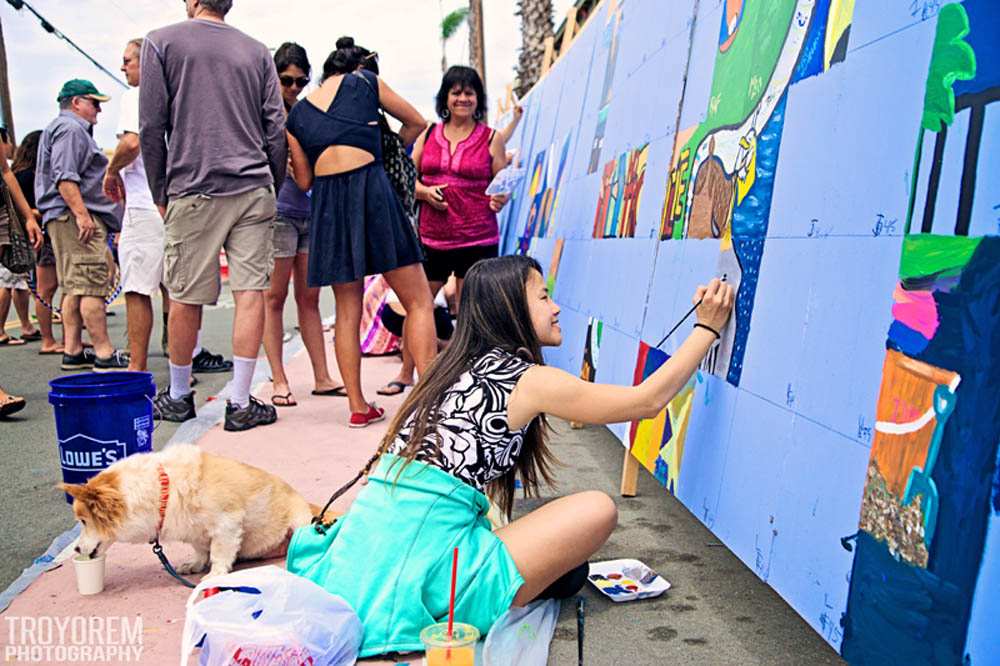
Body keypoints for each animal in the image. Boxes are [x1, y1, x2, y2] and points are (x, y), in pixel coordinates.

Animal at [60, 444, 330, 580]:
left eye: (83, 521)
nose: (76, 549)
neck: (164, 491)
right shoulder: (196, 534)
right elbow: (202, 552)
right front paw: (195, 565)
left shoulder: (227, 524)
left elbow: (219, 553)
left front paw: (215, 574)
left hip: (299, 521)